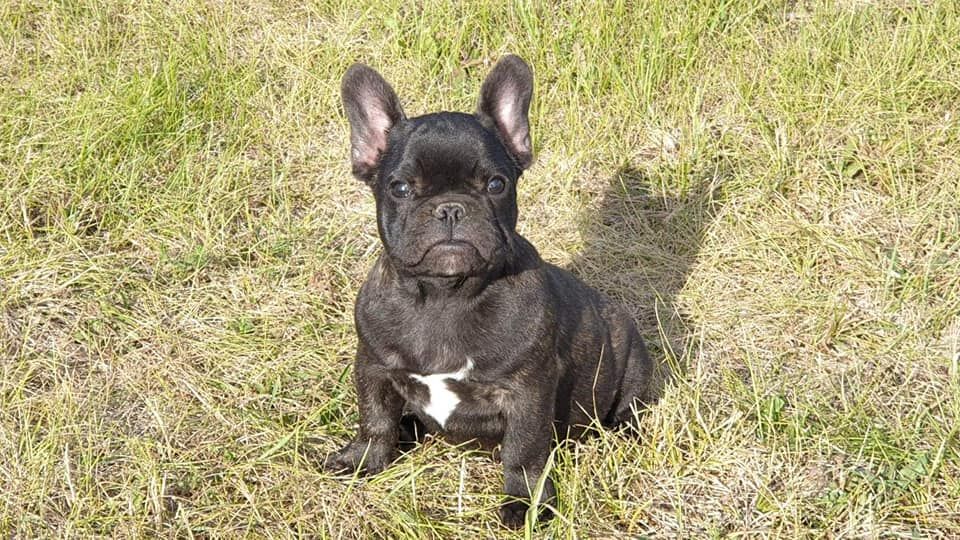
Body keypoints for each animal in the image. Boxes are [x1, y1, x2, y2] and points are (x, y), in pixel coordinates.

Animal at [324, 55, 653, 527]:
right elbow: (374, 419)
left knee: (630, 405)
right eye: (400, 188)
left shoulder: (527, 392)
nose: (450, 208)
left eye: (497, 184)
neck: (445, 295)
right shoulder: (373, 367)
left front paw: (524, 503)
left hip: (630, 355)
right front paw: (362, 461)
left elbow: (523, 451)